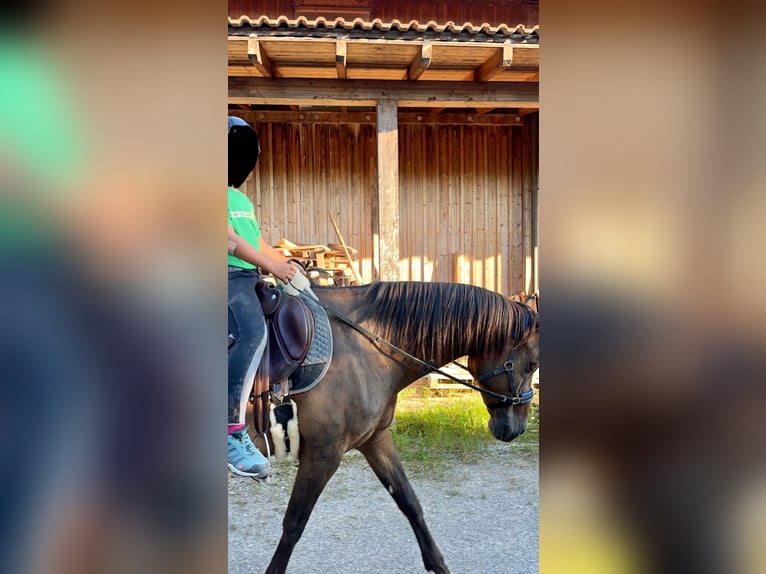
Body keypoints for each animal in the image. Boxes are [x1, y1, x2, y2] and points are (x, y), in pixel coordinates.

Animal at [264, 284, 540, 574]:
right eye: (532, 364)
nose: (517, 428)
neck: (364, 347)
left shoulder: (375, 440)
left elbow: (409, 501)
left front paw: (438, 564)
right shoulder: (322, 455)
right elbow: (294, 524)